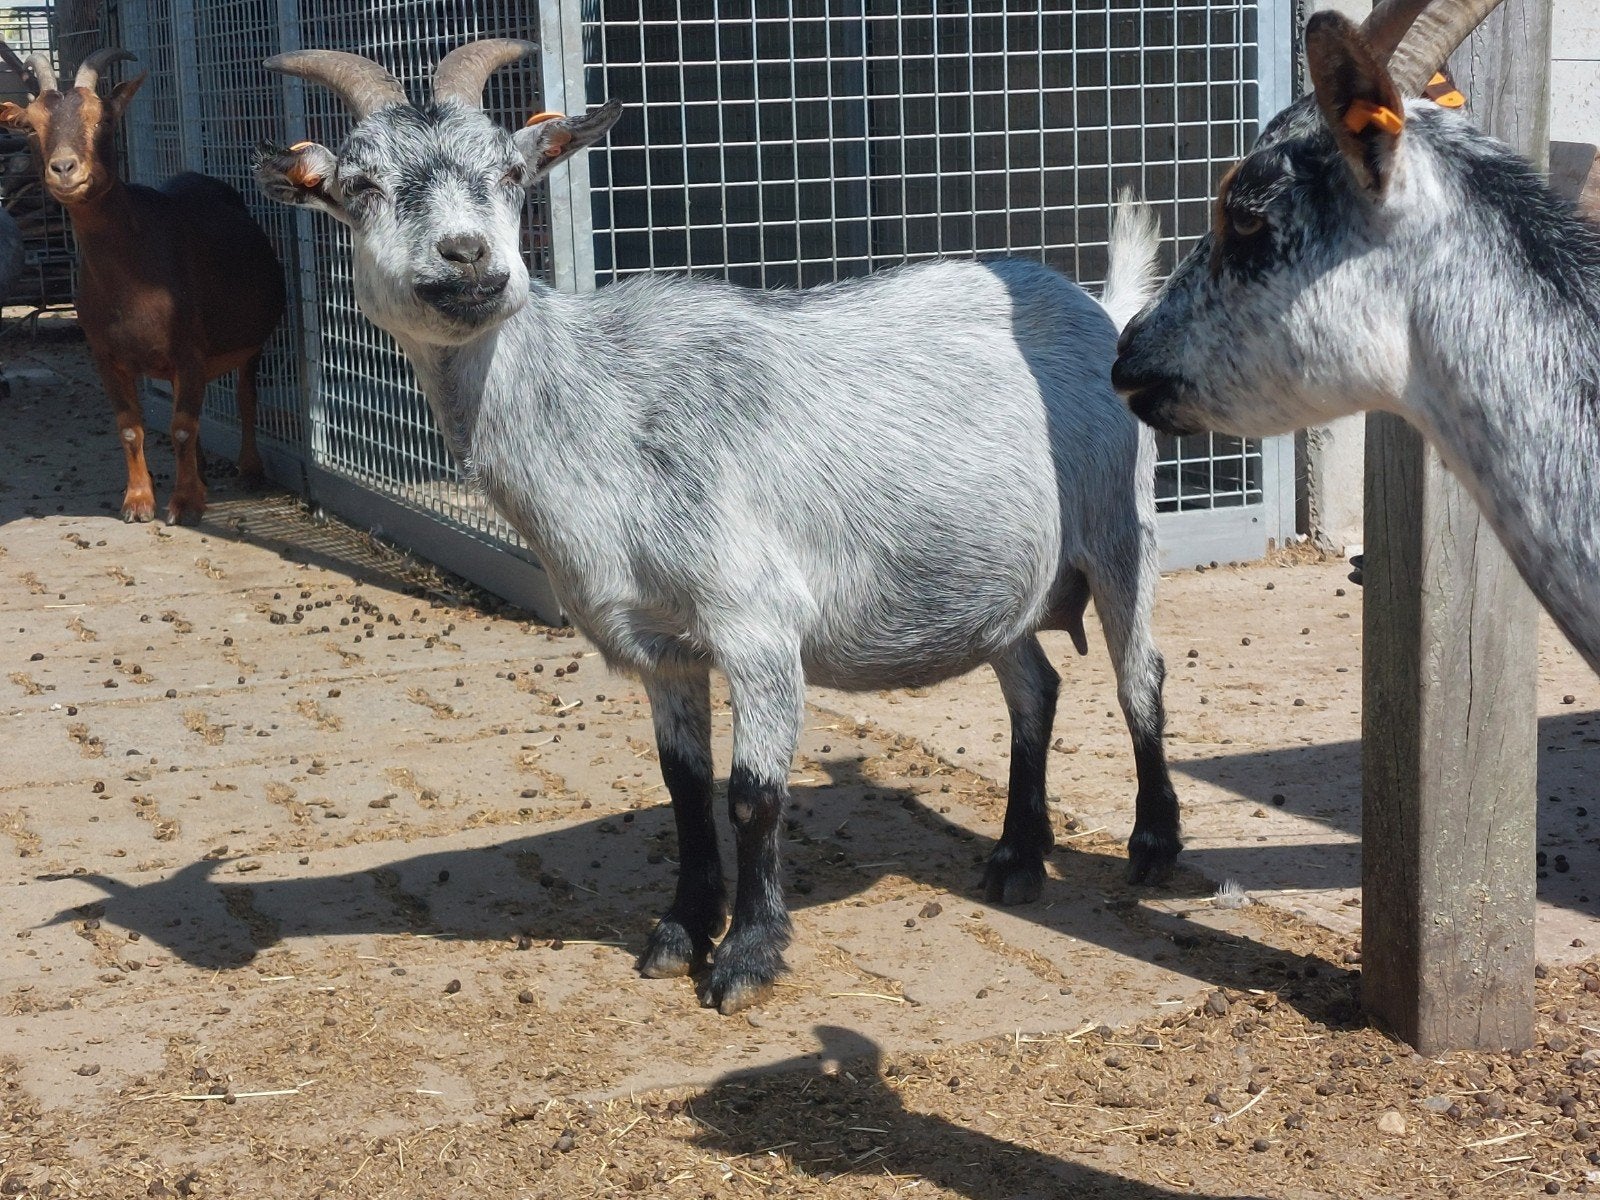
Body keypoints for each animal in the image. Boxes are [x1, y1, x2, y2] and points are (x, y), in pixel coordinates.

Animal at [0, 50, 286, 525]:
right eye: (32, 126)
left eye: (103, 119)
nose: (64, 169)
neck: (130, 281)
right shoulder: (105, 356)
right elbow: (132, 428)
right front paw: (138, 502)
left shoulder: (190, 349)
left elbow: (183, 426)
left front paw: (184, 505)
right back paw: (202, 472)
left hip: (251, 341)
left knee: (245, 396)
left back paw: (249, 470)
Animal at [255, 40, 1180, 1014]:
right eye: (360, 185)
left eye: (511, 173)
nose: (469, 258)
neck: (600, 410)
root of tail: (1097, 306)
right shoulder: (659, 644)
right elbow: (685, 789)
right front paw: (679, 932)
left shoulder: (758, 626)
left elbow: (753, 795)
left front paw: (747, 955)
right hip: (995, 576)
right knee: (1034, 687)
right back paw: (1015, 858)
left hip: (1119, 528)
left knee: (1139, 677)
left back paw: (1152, 848)